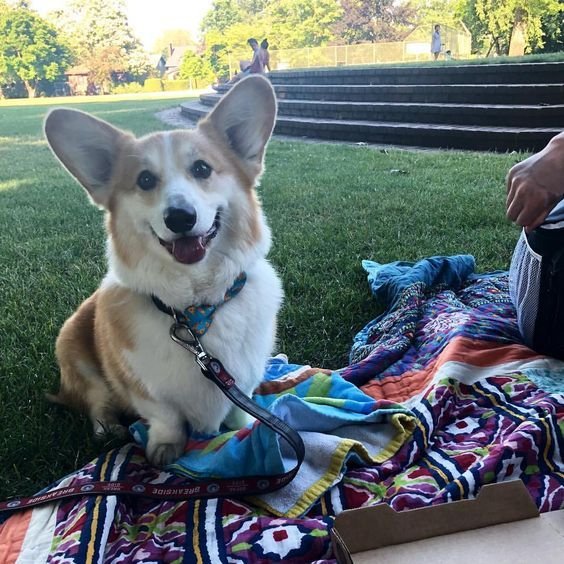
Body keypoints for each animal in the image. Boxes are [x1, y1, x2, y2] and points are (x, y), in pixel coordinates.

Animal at [44, 76, 284, 468]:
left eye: (202, 169)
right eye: (144, 180)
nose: (180, 217)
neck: (195, 310)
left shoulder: (244, 377)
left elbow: (240, 407)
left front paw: (246, 427)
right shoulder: (142, 388)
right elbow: (165, 417)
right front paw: (165, 447)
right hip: (71, 346)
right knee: (96, 399)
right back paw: (108, 428)